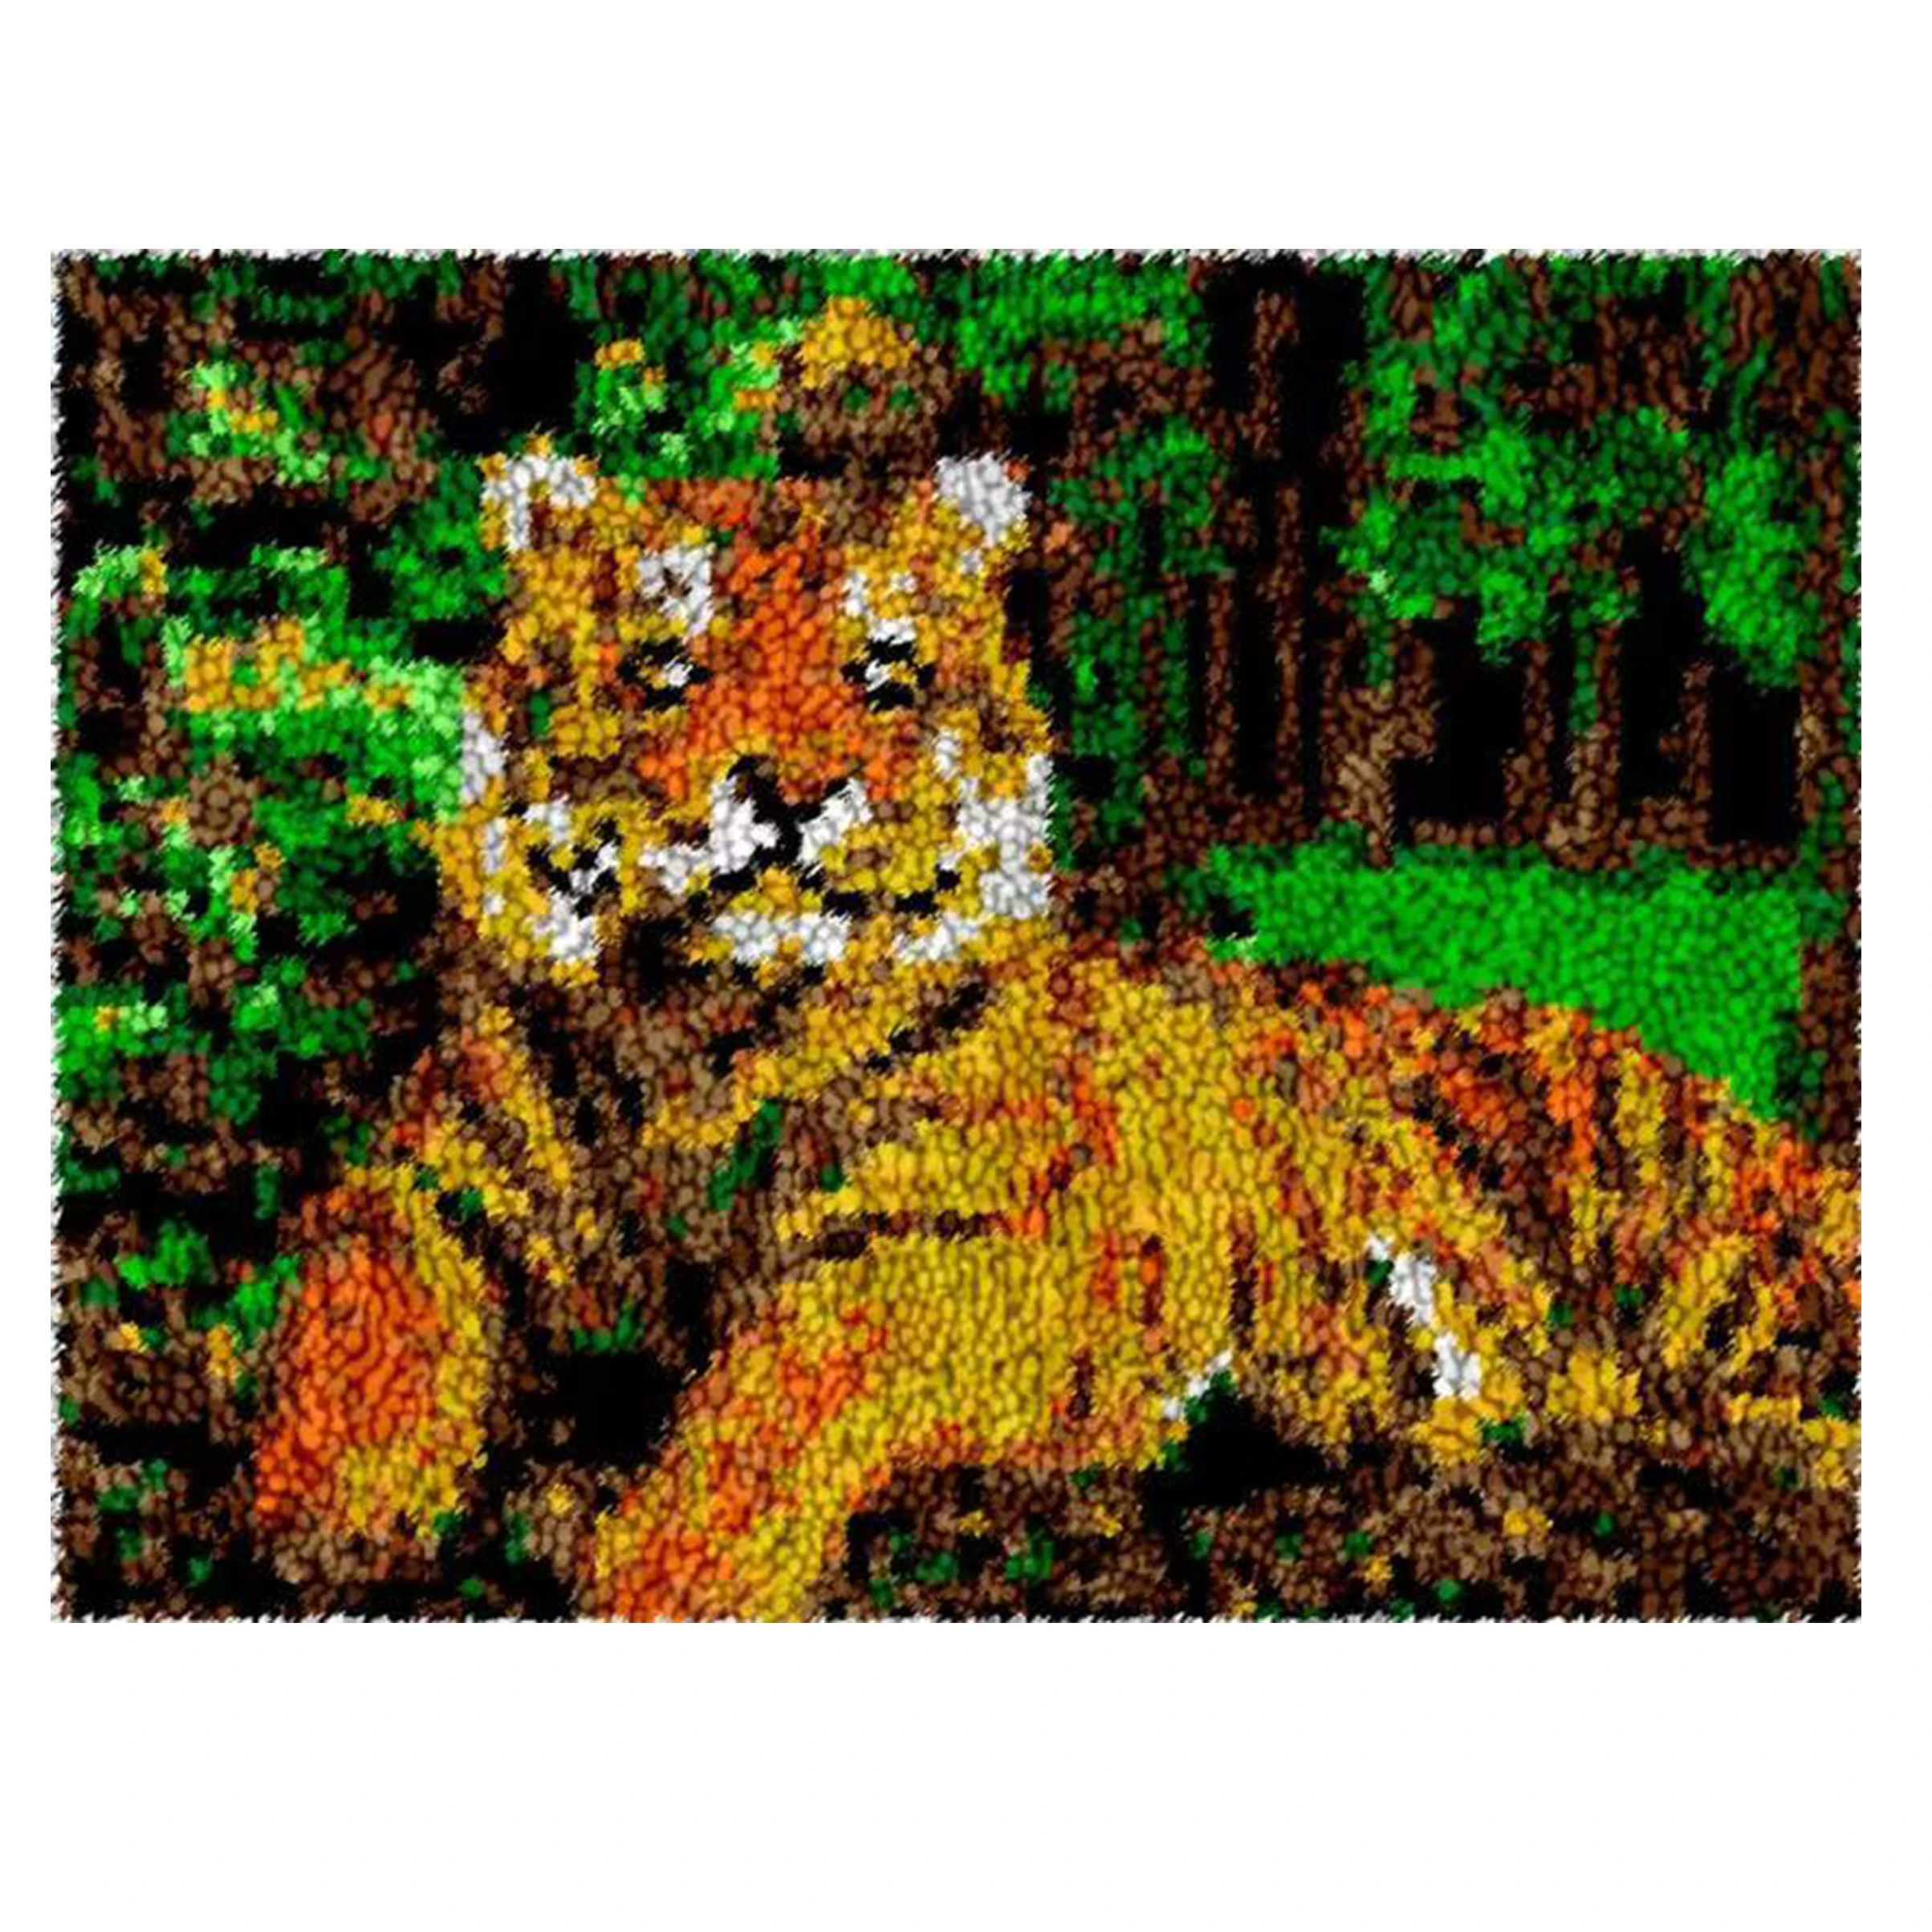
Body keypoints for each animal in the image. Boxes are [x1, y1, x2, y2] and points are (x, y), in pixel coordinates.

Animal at [249, 434, 1860, 1618]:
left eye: (882, 670)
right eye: (666, 666)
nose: (789, 792)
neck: (711, 1031)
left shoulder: (960, 1246)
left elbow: (778, 1384)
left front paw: (664, 1566)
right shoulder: (426, 1180)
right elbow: (367, 1309)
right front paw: (333, 1505)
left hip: (1705, 1248)